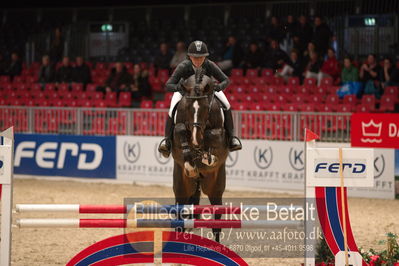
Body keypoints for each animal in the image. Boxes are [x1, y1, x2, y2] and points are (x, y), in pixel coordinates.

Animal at [171, 69, 230, 243]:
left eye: (205, 108)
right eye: (188, 108)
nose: (196, 139)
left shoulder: (219, 134)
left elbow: (212, 135)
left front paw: (207, 156)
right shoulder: (178, 129)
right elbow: (180, 130)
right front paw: (191, 161)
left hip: (215, 185)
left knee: (216, 217)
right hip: (182, 185)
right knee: (180, 211)